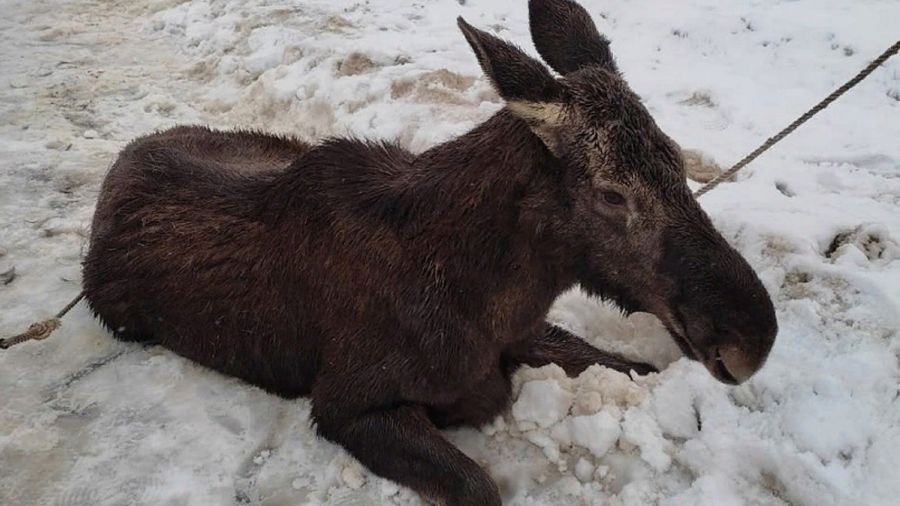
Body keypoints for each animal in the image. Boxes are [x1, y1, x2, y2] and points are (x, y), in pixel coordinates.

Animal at [81, 0, 776, 502]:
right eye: (612, 192)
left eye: (678, 161)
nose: (753, 337)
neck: (480, 295)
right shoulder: (345, 403)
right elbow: (481, 487)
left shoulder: (525, 333)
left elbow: (629, 365)